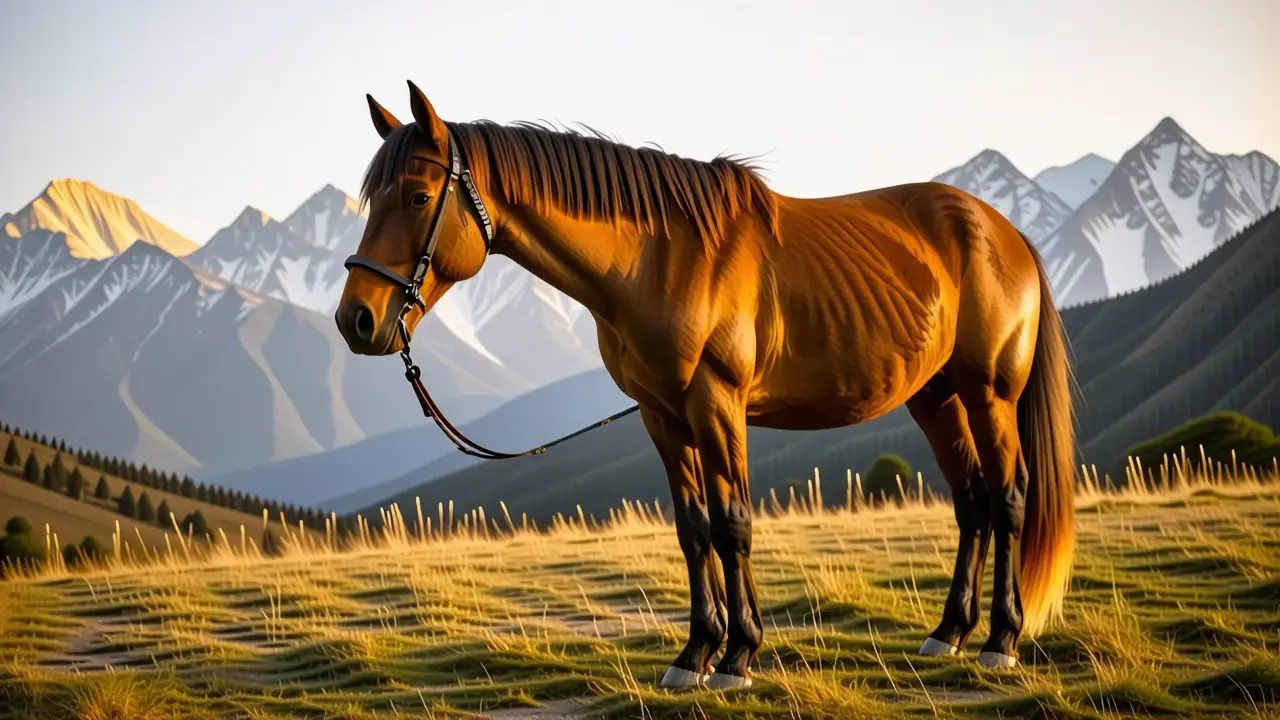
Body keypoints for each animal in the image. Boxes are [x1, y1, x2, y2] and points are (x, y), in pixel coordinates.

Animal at [336, 80, 1077, 690]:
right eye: (371, 200)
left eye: (418, 197)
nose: (356, 319)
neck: (659, 258)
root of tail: (1006, 233)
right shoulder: (661, 415)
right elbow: (694, 529)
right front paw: (695, 653)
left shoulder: (717, 404)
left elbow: (733, 523)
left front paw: (739, 656)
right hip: (936, 397)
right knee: (972, 501)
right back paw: (948, 633)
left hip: (989, 394)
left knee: (1008, 498)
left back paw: (1001, 642)